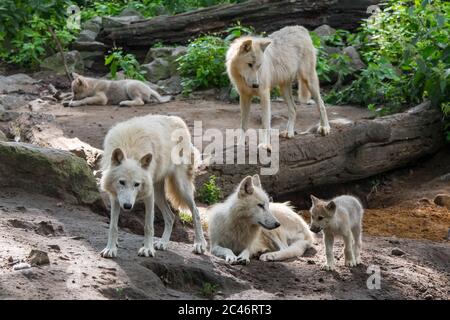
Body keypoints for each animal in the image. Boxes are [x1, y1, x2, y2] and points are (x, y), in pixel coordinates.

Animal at [99, 114, 207, 258]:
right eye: (121, 182)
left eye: (136, 184)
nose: (127, 206)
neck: (130, 150)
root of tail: (178, 120)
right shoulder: (115, 196)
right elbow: (113, 226)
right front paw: (110, 249)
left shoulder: (148, 195)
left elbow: (148, 226)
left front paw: (147, 249)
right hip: (158, 194)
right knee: (171, 217)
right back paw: (163, 243)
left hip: (181, 187)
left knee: (195, 211)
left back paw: (199, 244)